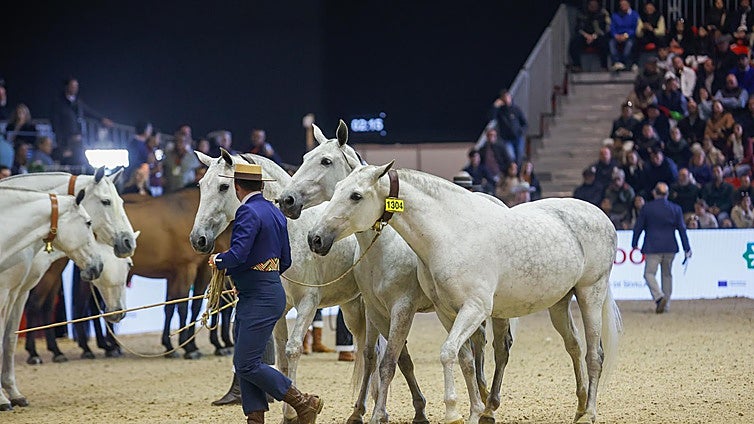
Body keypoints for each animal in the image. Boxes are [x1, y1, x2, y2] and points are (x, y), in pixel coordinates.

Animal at [277, 121, 503, 424]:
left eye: (325, 160)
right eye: (304, 158)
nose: (286, 200)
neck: (384, 244)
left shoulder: (402, 308)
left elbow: (389, 362)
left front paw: (380, 413)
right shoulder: (376, 309)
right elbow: (384, 358)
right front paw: (376, 411)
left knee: (491, 347)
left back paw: (487, 402)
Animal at [307, 162, 623, 424]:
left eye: (356, 196)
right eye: (337, 188)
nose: (315, 238)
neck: (451, 233)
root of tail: (601, 216)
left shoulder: (473, 309)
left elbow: (446, 353)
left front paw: (453, 412)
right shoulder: (447, 312)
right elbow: (465, 360)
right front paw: (473, 412)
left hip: (590, 294)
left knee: (594, 354)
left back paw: (589, 413)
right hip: (559, 303)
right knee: (574, 347)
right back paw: (576, 406)